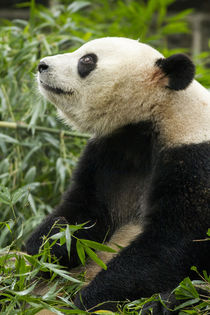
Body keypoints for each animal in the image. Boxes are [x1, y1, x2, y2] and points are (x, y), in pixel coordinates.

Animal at [26, 36, 210, 314]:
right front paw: (44, 250)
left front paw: (87, 299)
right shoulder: (110, 153)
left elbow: (172, 243)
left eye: (87, 60)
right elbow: (85, 215)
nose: (42, 65)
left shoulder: (195, 162)